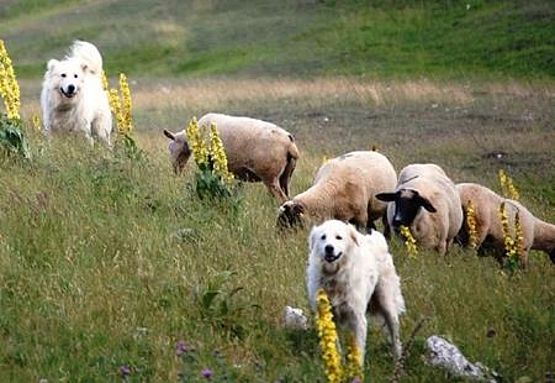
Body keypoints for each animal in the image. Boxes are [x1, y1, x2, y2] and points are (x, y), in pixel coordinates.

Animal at [164, 113, 300, 204]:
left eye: (171, 148)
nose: (175, 170)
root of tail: (289, 142)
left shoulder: (209, 164)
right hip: (286, 176)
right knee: (288, 196)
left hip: (270, 176)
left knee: (281, 198)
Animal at [306, 220, 406, 364]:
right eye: (323, 237)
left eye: (338, 237)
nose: (329, 248)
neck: (335, 276)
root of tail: (375, 238)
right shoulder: (328, 317)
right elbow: (335, 347)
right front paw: (338, 365)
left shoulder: (357, 317)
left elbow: (358, 350)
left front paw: (357, 369)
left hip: (387, 304)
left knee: (395, 336)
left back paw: (397, 361)